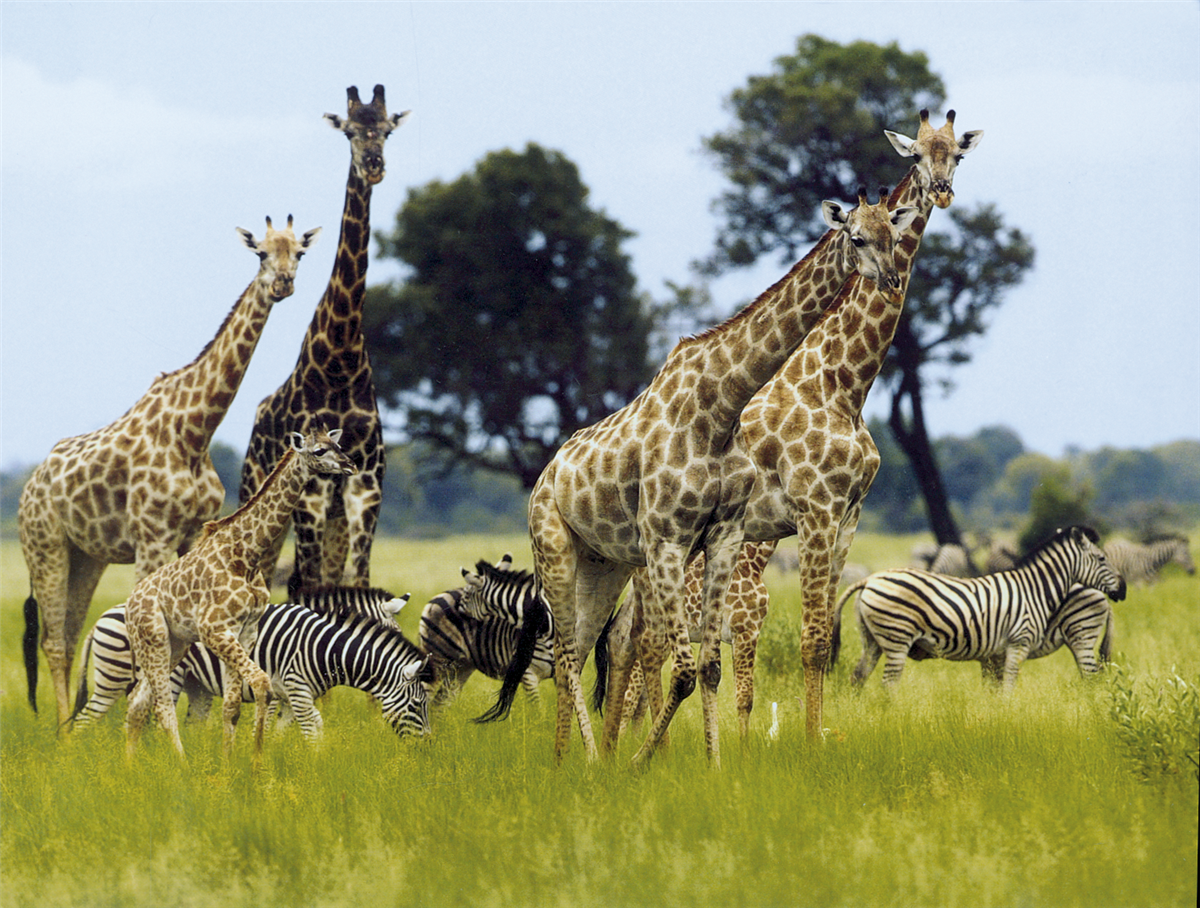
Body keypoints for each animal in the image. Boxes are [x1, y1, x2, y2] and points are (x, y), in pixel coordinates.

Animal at [71, 588, 432, 739]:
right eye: (416, 705)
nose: (428, 747)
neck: (319, 644)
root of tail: (101, 617)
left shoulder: (288, 697)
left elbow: (279, 735)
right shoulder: (280, 691)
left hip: (192, 685)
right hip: (123, 679)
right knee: (89, 720)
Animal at [418, 555, 554, 720]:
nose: (459, 615)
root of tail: (436, 597)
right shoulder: (528, 674)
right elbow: (538, 713)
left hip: (460, 668)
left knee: (438, 704)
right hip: (438, 660)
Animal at [831, 525, 1126, 690]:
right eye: (1102, 559)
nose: (1123, 589)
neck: (1035, 590)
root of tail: (869, 579)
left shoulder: (997, 653)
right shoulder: (1017, 644)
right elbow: (1008, 690)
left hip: (873, 640)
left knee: (858, 678)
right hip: (896, 638)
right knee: (887, 685)